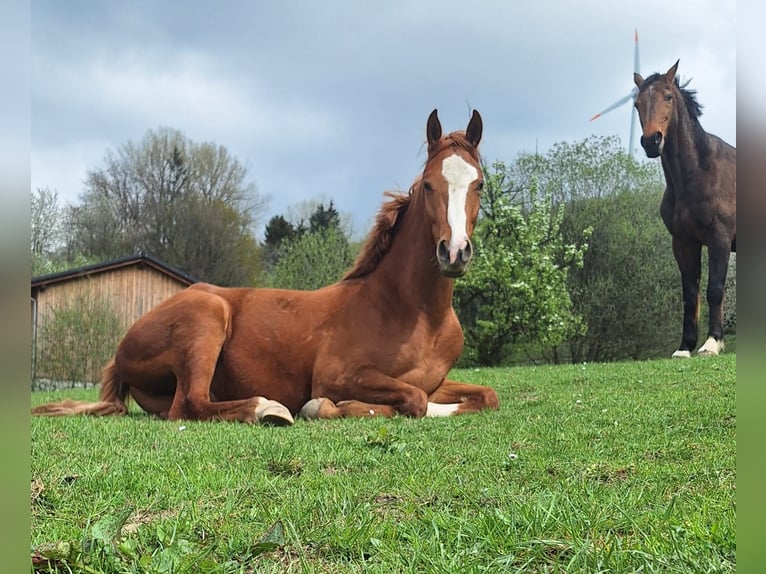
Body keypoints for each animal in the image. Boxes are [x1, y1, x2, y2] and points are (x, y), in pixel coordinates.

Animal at [32, 109, 500, 425]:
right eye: (428, 185)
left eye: (479, 183)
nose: (454, 252)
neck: (415, 314)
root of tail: (121, 349)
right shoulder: (338, 374)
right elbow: (412, 400)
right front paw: (325, 406)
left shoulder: (438, 381)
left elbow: (483, 395)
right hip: (206, 320)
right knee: (191, 405)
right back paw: (269, 408)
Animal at [633, 60, 736, 358]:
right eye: (637, 103)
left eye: (668, 97)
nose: (651, 141)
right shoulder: (683, 242)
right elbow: (690, 294)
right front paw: (685, 347)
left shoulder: (720, 239)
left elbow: (715, 289)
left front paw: (712, 343)